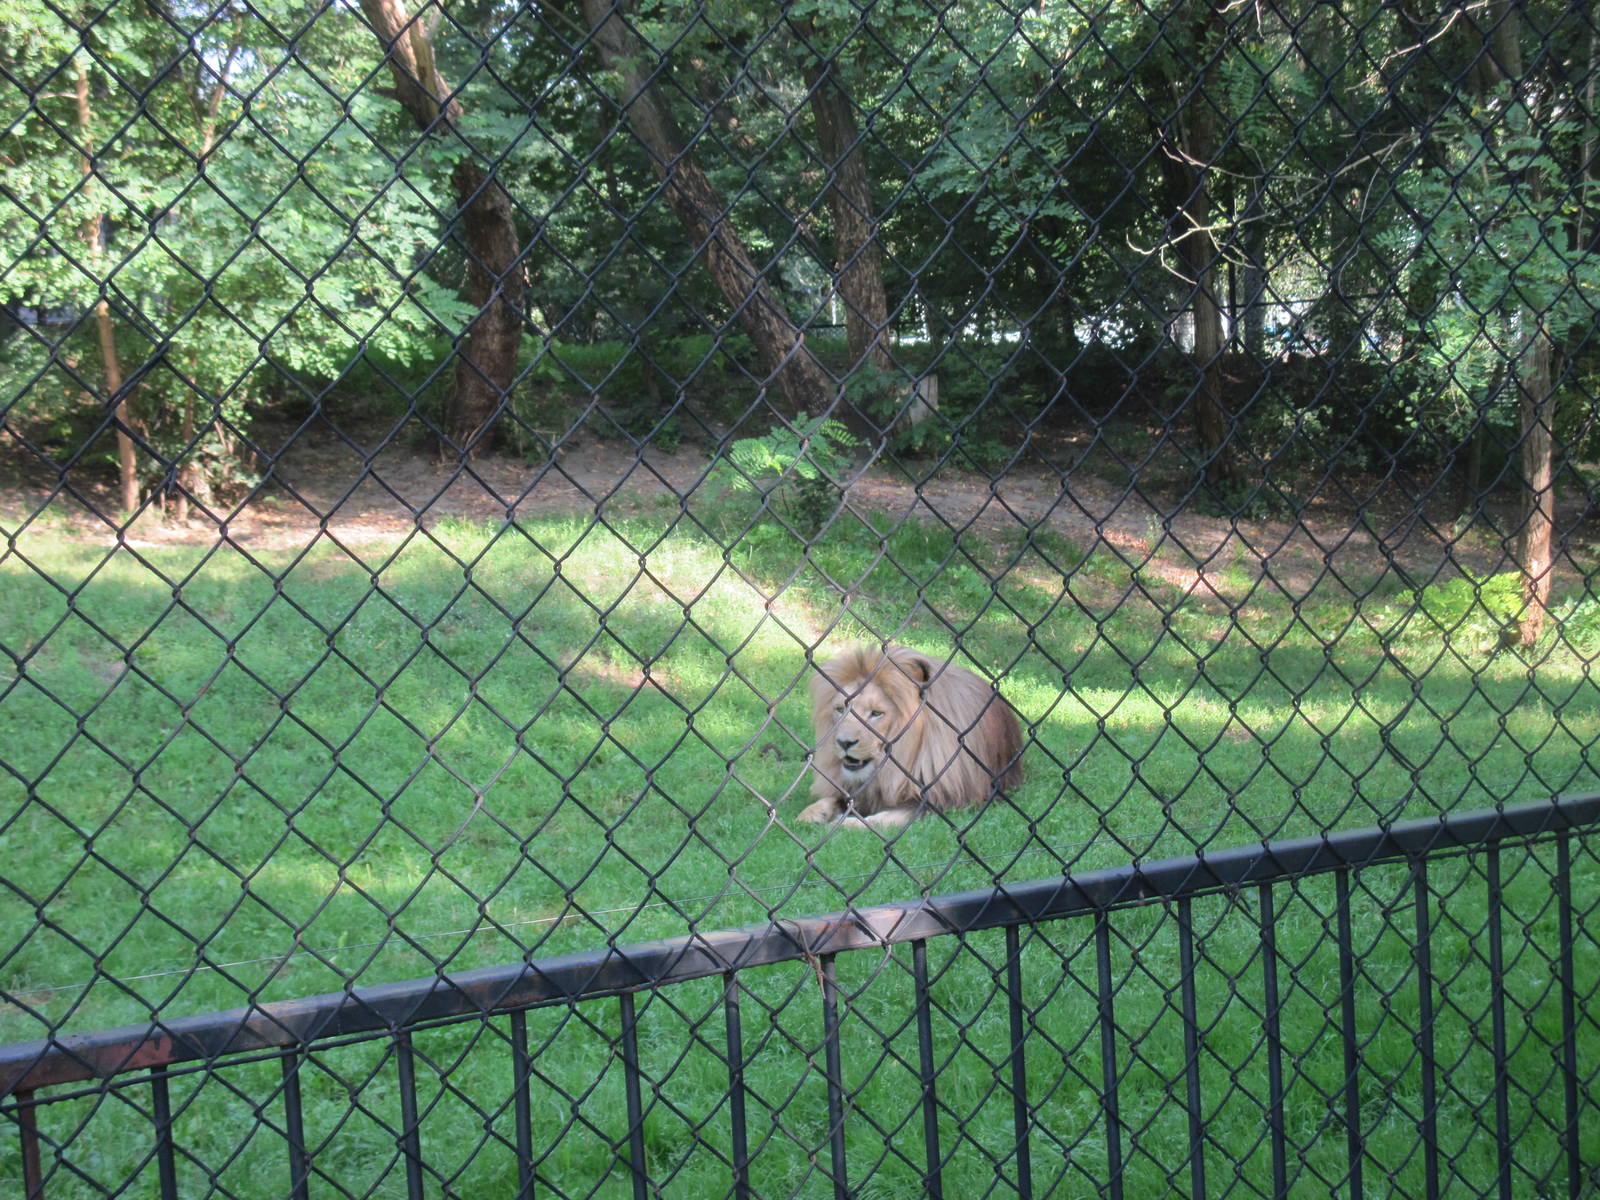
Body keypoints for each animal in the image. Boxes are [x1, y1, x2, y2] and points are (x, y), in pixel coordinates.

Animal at [797, 644, 1024, 830]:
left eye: (876, 713)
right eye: (840, 709)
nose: (844, 742)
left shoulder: (943, 798)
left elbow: (887, 818)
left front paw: (848, 823)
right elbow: (832, 799)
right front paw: (812, 814)